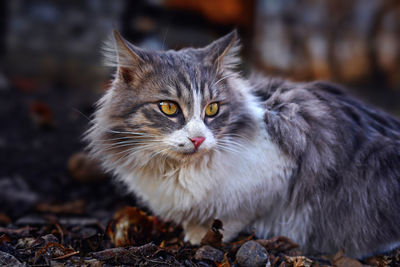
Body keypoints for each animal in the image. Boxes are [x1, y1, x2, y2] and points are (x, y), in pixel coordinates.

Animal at [85, 29, 400, 260]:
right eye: (168, 107)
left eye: (212, 109)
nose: (198, 138)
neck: (178, 169)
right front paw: (192, 229)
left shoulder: (275, 177)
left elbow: (233, 216)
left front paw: (200, 235)